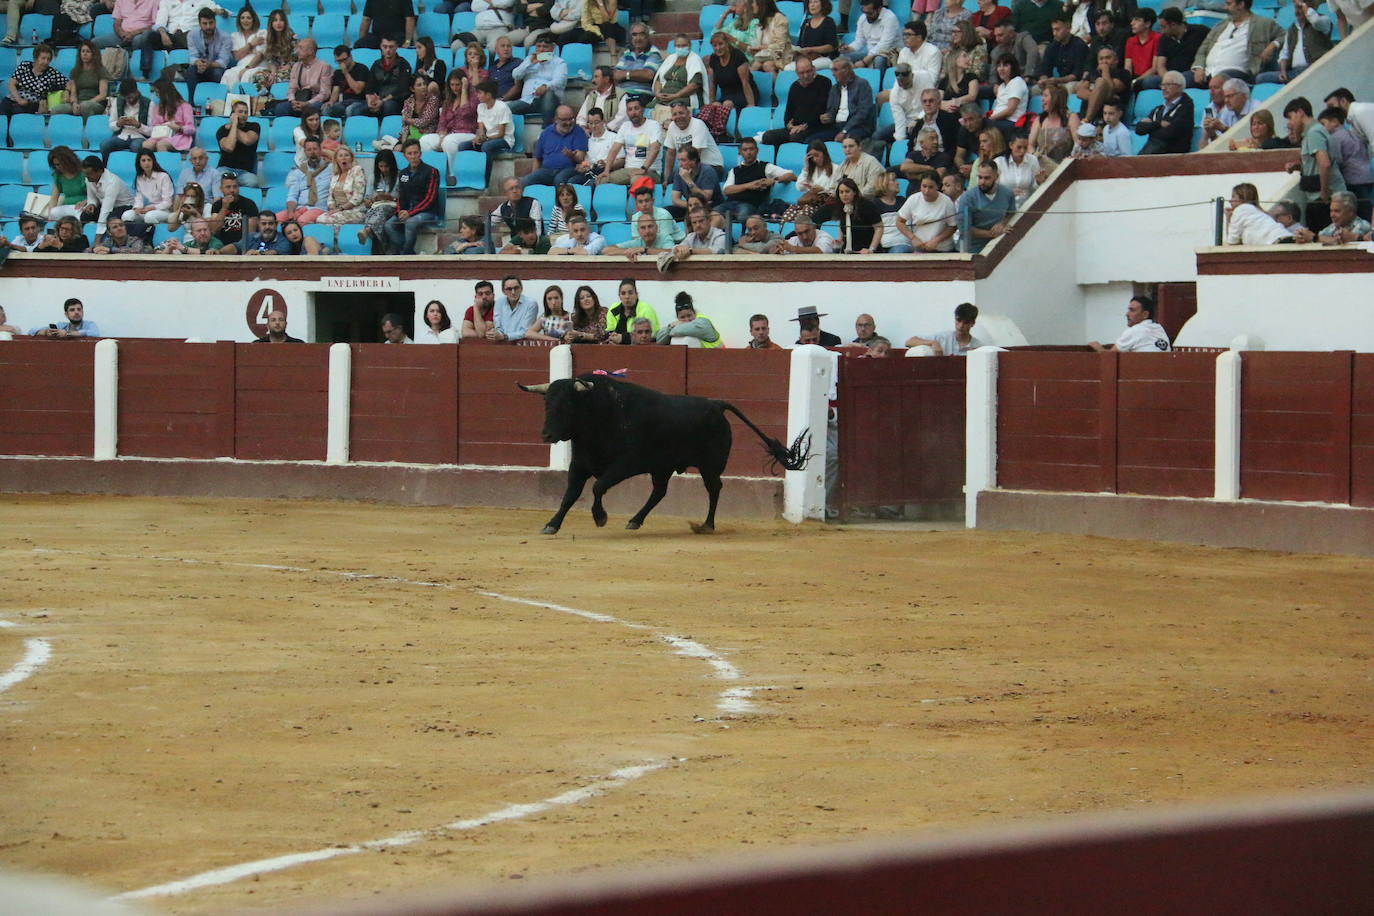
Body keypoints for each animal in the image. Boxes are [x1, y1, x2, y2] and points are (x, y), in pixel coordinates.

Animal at [519, 376, 807, 532]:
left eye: (567, 405)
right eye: (546, 404)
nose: (546, 435)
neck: (600, 414)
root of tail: (716, 404)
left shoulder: (626, 463)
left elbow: (598, 487)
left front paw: (600, 517)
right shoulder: (580, 464)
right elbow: (569, 495)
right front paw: (551, 524)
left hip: (709, 465)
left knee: (714, 489)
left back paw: (707, 525)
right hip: (663, 467)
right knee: (659, 491)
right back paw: (635, 520)